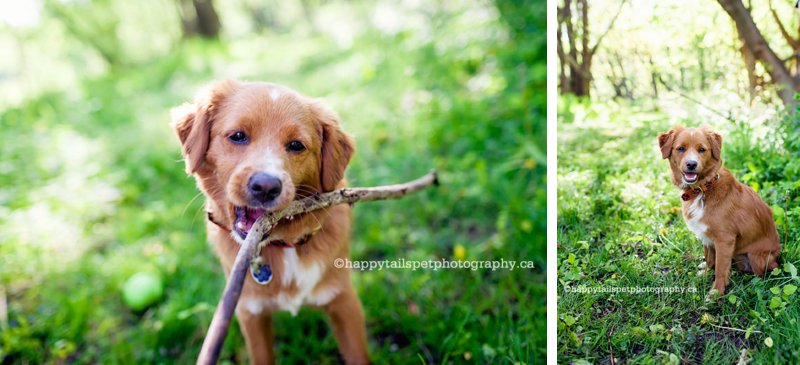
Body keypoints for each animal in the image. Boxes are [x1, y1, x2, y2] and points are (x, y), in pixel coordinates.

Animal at [173, 80, 370, 364]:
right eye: (238, 136)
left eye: (296, 145)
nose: (266, 187)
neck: (283, 246)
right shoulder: (250, 313)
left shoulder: (344, 301)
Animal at [656, 125, 780, 296]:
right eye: (680, 148)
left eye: (702, 149)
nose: (691, 164)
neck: (702, 189)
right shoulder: (706, 235)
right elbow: (709, 257)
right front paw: (705, 273)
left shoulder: (725, 239)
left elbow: (720, 268)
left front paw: (716, 292)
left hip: (757, 257)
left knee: (763, 273)